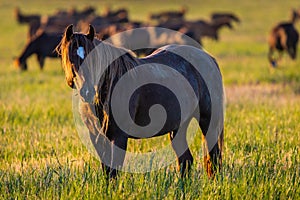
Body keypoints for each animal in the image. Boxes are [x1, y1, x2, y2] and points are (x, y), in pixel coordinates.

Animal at [57, 24, 224, 179]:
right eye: (70, 57)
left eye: (93, 59)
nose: (87, 91)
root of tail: (208, 58)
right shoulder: (96, 137)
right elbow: (107, 170)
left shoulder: (118, 137)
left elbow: (114, 170)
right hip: (179, 127)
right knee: (185, 160)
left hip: (208, 121)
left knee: (213, 157)